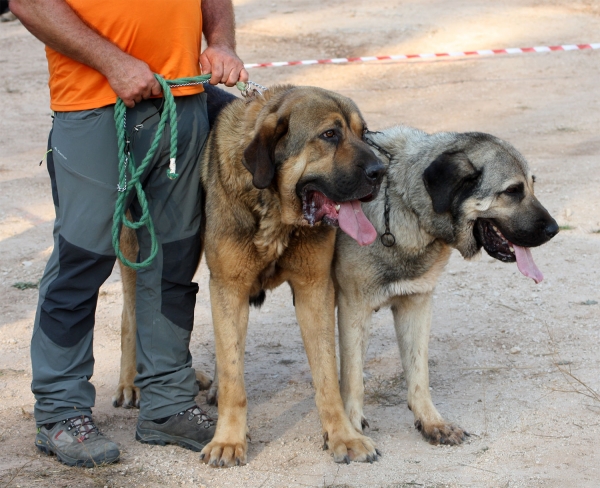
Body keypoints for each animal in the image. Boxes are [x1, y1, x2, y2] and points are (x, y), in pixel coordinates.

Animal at [336, 127, 560, 446]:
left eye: (531, 185)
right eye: (512, 191)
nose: (555, 230)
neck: (404, 202)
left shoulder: (416, 304)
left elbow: (419, 373)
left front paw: (431, 422)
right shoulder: (353, 307)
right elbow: (353, 377)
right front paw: (351, 432)